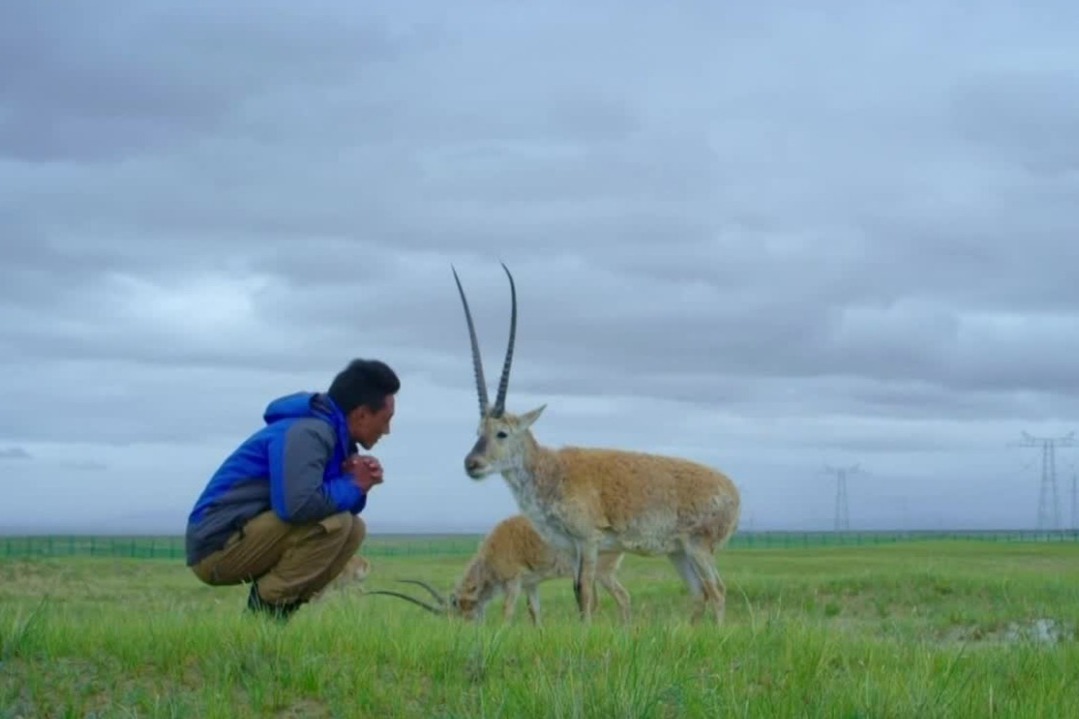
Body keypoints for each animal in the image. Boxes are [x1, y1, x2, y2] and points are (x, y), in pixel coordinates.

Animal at [369, 509, 630, 621]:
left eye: (461, 613)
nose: (463, 631)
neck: (491, 551)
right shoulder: (531, 584)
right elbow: (534, 610)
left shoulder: (513, 582)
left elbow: (508, 610)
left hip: (602, 573)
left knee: (622, 597)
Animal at [446, 262, 742, 621]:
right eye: (478, 431)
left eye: (502, 433)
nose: (471, 464)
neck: (551, 470)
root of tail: (733, 492)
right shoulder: (571, 547)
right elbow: (577, 593)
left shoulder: (588, 541)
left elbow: (585, 593)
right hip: (678, 552)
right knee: (700, 593)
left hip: (698, 547)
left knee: (717, 590)